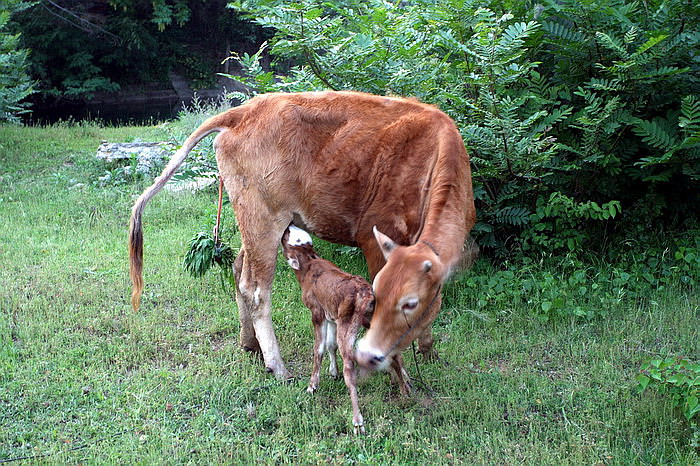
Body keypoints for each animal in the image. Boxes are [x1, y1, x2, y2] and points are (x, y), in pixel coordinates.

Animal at [129, 89, 476, 380]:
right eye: (380, 295)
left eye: (410, 303)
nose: (373, 354)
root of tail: (246, 110)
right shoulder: (376, 235)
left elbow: (436, 302)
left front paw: (428, 351)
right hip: (263, 219)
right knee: (256, 291)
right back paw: (277, 365)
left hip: (251, 221)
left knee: (239, 270)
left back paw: (249, 344)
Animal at [278, 224, 410, 436]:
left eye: (289, 237)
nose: (288, 225)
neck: (309, 264)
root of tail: (367, 294)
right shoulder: (332, 316)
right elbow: (330, 345)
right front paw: (333, 372)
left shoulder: (317, 312)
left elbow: (319, 349)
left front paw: (312, 385)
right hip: (369, 321)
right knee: (393, 353)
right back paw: (404, 390)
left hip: (349, 324)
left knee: (350, 366)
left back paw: (357, 421)